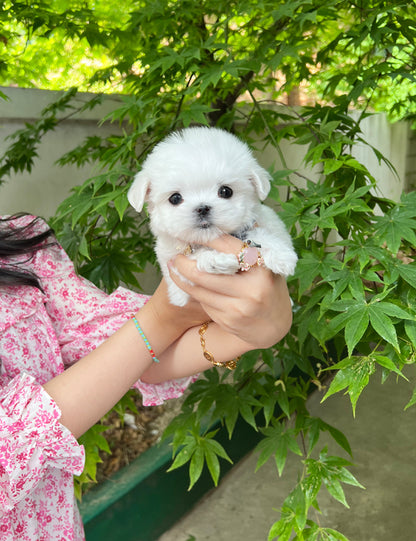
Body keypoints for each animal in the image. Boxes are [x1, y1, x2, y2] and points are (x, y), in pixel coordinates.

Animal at [128, 125, 298, 306]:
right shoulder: (172, 266)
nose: (202, 208)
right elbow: (192, 259)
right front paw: (216, 261)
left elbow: (259, 235)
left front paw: (280, 254)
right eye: (175, 198)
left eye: (225, 191)